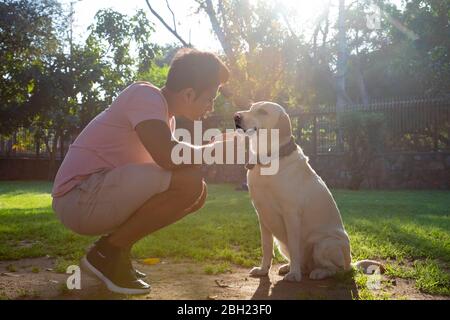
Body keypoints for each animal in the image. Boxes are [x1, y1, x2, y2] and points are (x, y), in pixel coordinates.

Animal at [236, 102, 380, 282]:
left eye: (262, 111)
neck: (267, 159)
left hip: (324, 244)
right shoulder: (262, 216)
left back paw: (318, 272)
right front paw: (263, 270)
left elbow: (294, 246)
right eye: (251, 108)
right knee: (304, 263)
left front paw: (294, 275)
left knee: (337, 269)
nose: (236, 117)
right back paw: (291, 267)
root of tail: (351, 263)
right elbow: (266, 247)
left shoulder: (291, 214)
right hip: (282, 244)